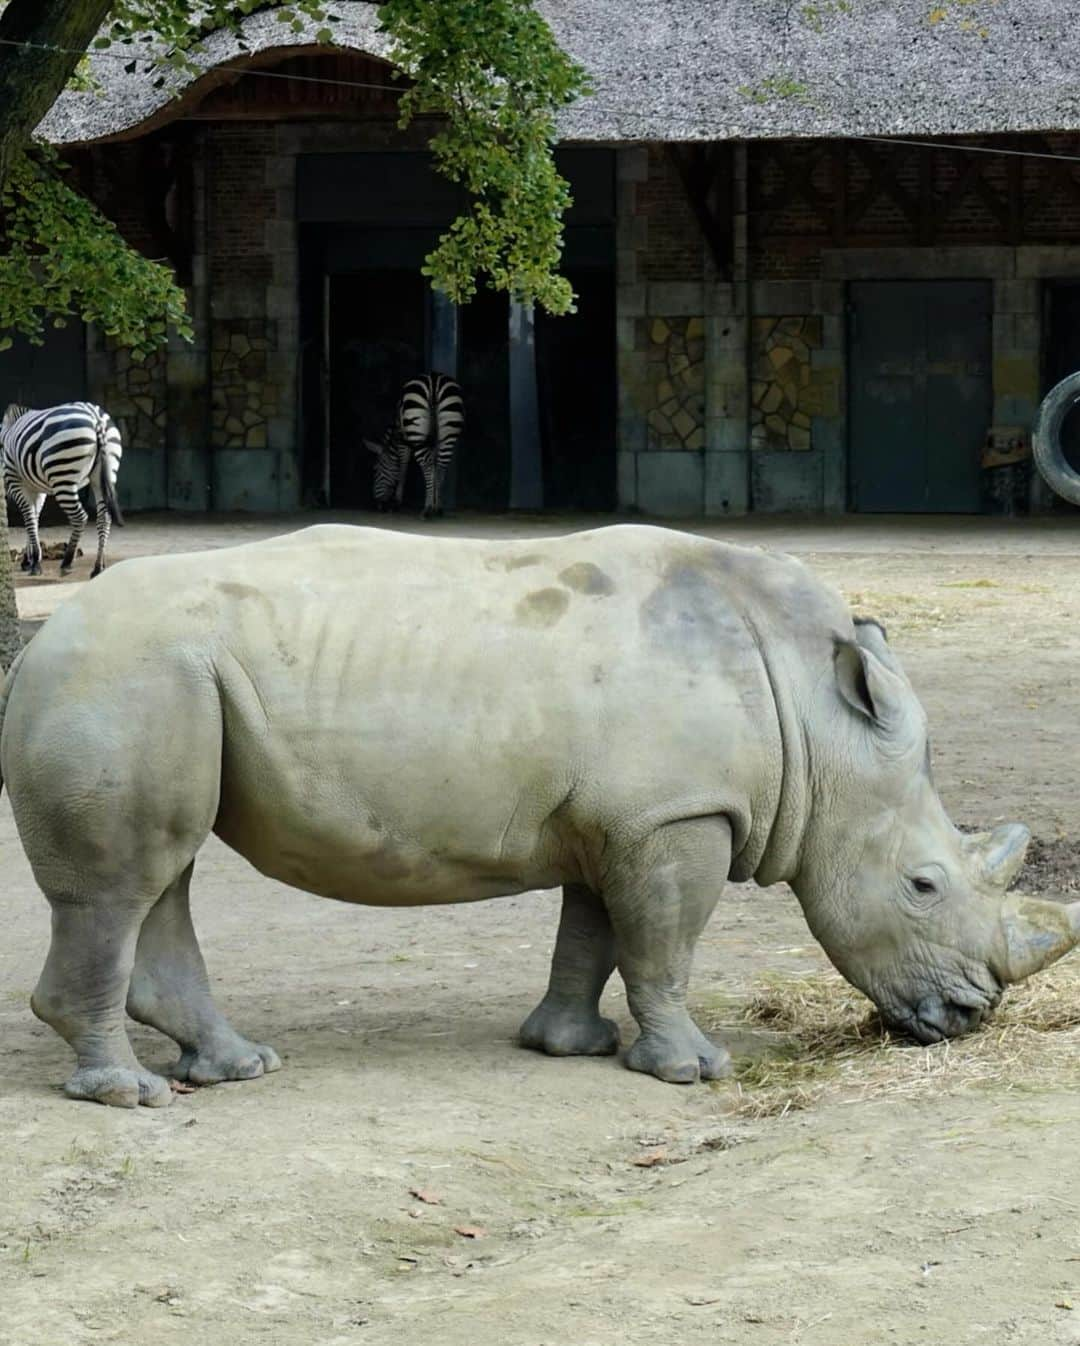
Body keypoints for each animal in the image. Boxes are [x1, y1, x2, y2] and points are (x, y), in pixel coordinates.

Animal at [2, 393, 123, 573]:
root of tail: (95, 416)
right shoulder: (38, 489)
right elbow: (34, 517)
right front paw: (30, 559)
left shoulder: (15, 481)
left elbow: (29, 517)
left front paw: (34, 562)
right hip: (103, 474)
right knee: (104, 518)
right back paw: (98, 567)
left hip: (63, 475)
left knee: (80, 517)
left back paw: (67, 562)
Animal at [363, 374, 460, 519]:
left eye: (375, 470)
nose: (378, 504)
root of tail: (434, 380)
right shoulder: (432, 442)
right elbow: (435, 466)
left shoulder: (402, 441)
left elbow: (402, 468)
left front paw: (397, 502)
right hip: (448, 432)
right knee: (440, 467)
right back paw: (438, 508)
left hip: (416, 432)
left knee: (428, 467)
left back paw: (427, 509)